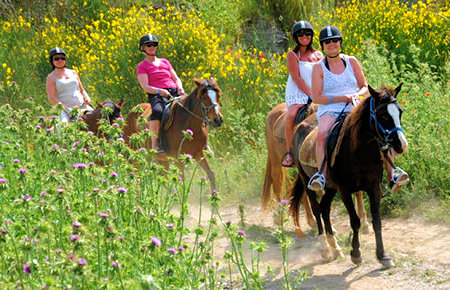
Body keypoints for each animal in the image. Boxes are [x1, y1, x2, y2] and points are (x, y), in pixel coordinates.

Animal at [290, 84, 406, 268]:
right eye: (382, 115)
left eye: (399, 112)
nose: (401, 144)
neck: (359, 152)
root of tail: (299, 126)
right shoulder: (344, 190)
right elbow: (355, 221)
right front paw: (356, 254)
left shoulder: (374, 187)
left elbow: (377, 221)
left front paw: (383, 256)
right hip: (306, 179)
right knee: (316, 209)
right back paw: (325, 248)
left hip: (330, 187)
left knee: (324, 208)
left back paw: (335, 247)